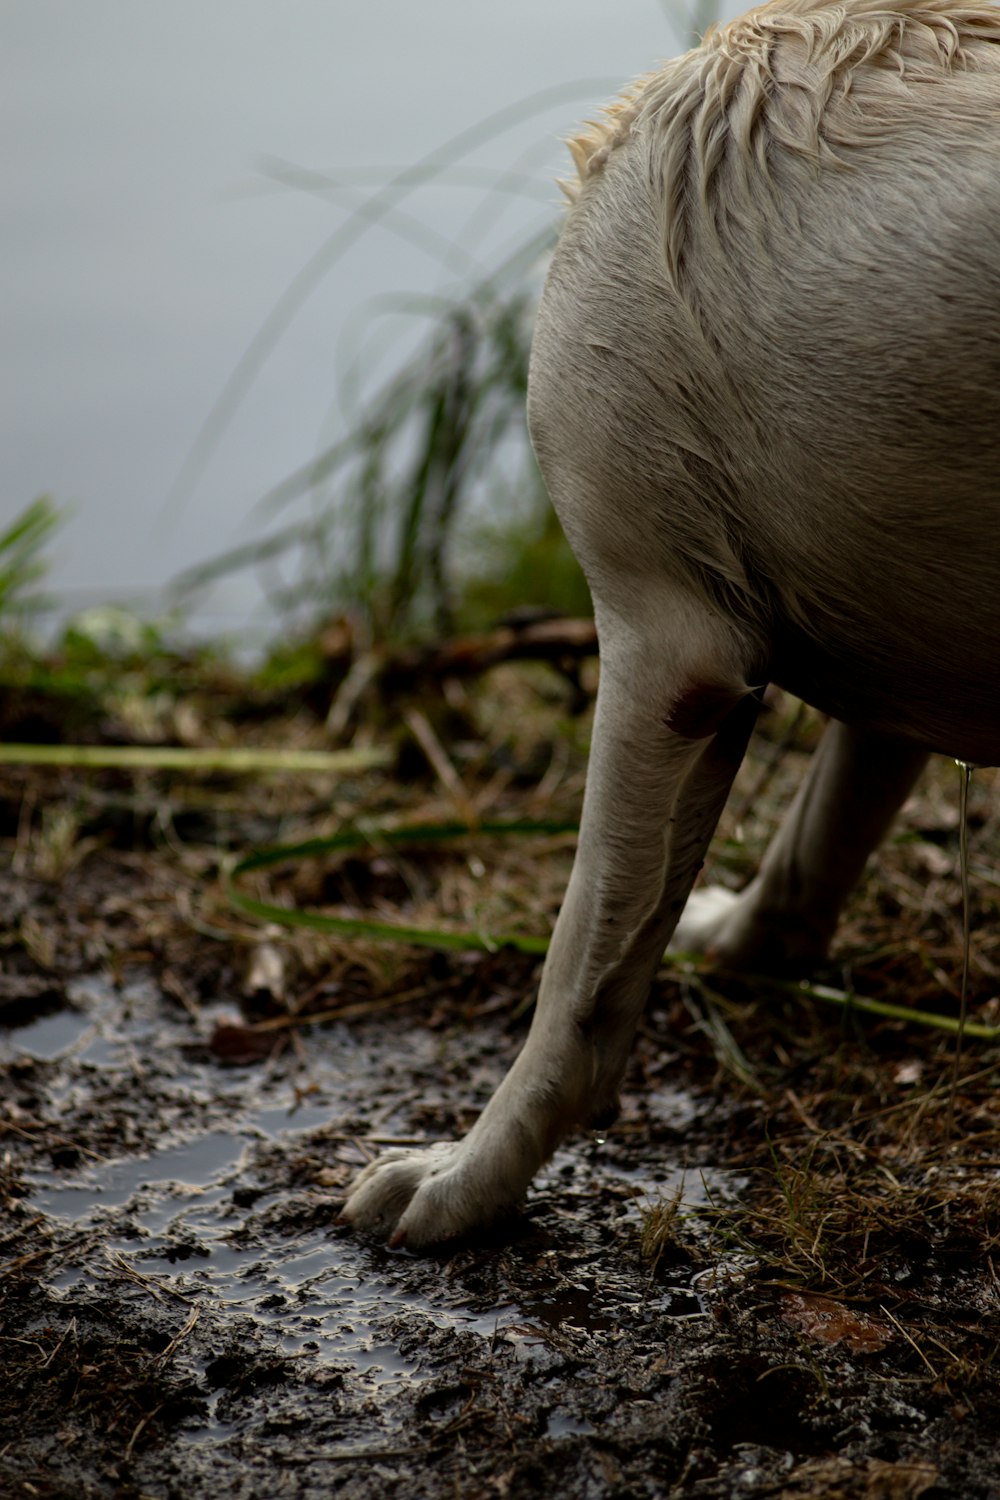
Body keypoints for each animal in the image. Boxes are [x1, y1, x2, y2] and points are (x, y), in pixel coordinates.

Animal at [344, 0, 1000, 1248]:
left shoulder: (665, 646)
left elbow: (578, 980)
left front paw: (466, 1180)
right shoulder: (884, 643)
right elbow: (812, 843)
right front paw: (736, 939)